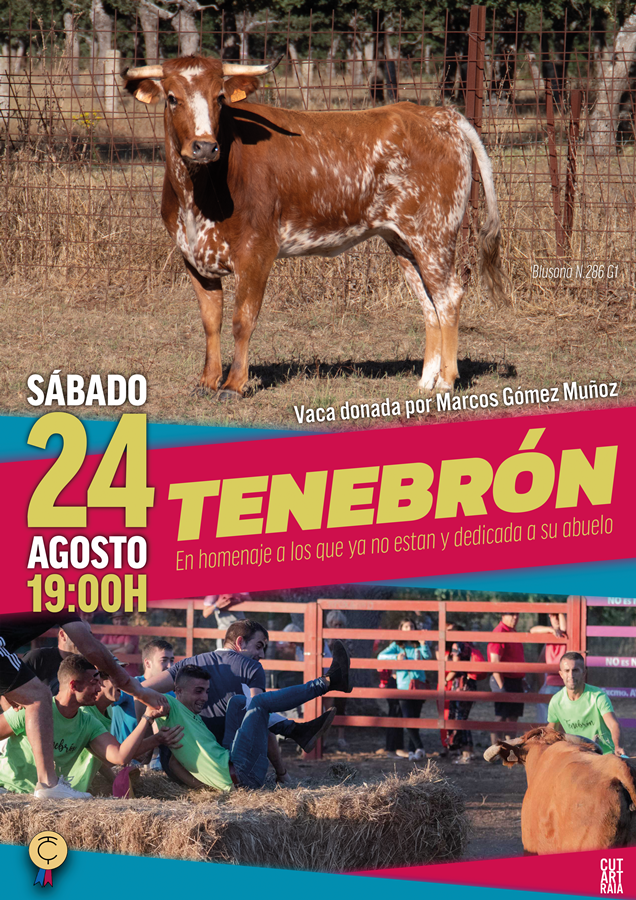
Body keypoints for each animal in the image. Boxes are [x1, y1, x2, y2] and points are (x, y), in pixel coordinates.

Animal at [123, 56, 509, 399]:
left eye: (220, 97)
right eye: (172, 98)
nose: (205, 146)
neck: (197, 196)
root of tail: (439, 114)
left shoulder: (256, 253)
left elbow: (242, 320)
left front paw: (233, 385)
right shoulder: (192, 257)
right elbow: (210, 321)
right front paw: (206, 382)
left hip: (434, 234)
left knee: (449, 297)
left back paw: (446, 381)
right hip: (402, 239)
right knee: (429, 304)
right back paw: (426, 380)